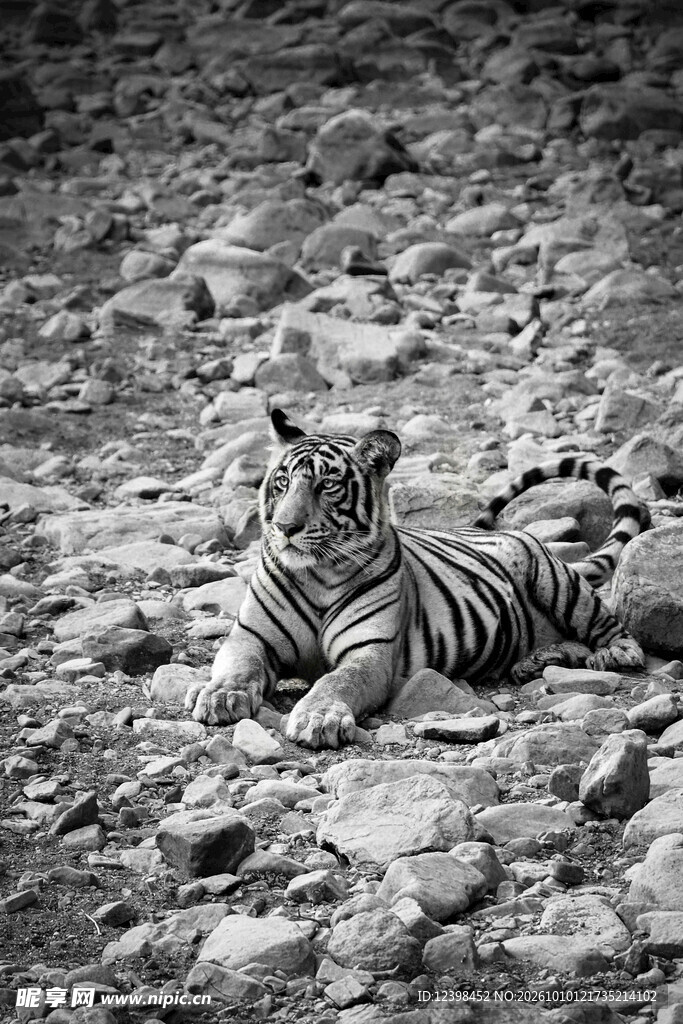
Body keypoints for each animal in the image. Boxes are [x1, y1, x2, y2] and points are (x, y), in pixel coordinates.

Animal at [185, 409, 645, 748]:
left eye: (327, 485)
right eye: (281, 483)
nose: (285, 527)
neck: (315, 573)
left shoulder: (370, 652)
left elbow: (337, 680)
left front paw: (318, 718)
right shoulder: (251, 637)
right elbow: (238, 667)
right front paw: (219, 696)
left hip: (552, 577)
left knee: (604, 623)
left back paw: (615, 654)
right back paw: (537, 659)